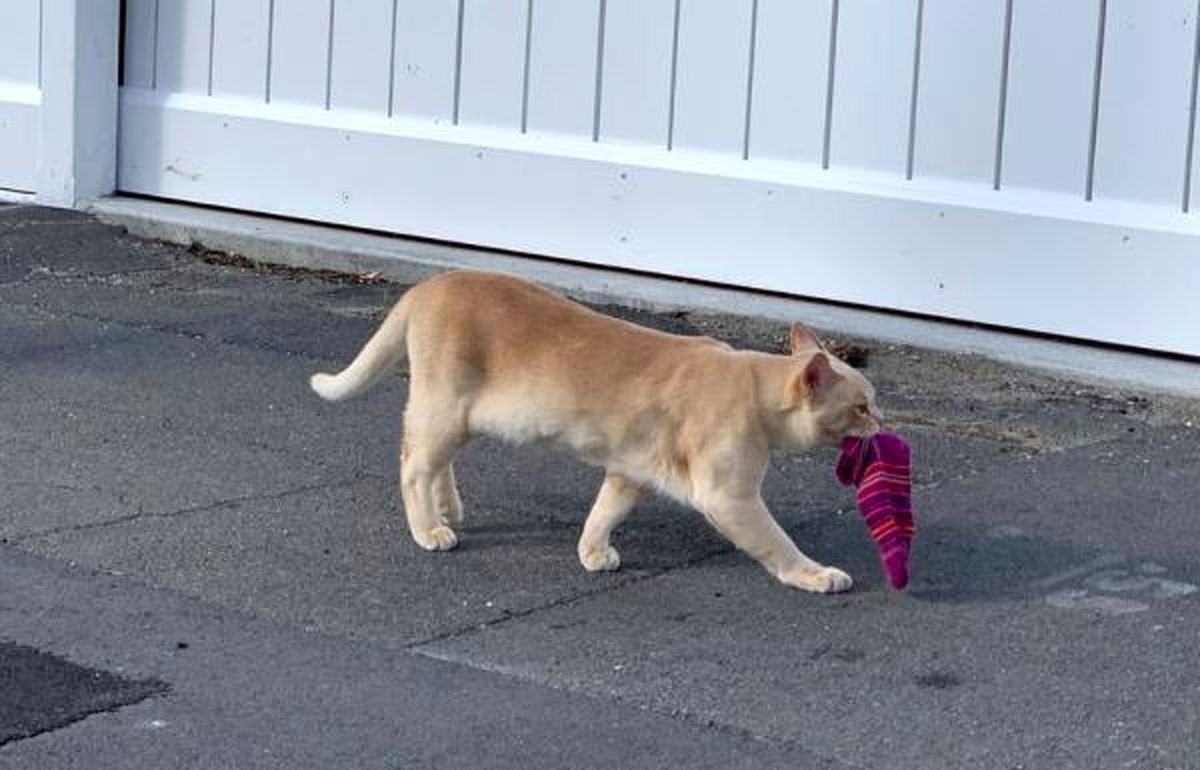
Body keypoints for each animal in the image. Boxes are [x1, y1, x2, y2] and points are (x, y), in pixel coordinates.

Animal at [314, 269, 888, 594]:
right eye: (861, 407)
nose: (883, 422)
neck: (752, 382)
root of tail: (425, 285)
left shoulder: (631, 471)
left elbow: (603, 512)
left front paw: (591, 553)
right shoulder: (728, 496)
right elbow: (779, 545)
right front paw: (817, 575)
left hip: (457, 417)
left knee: (431, 458)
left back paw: (447, 510)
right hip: (445, 409)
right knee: (413, 463)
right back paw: (429, 528)